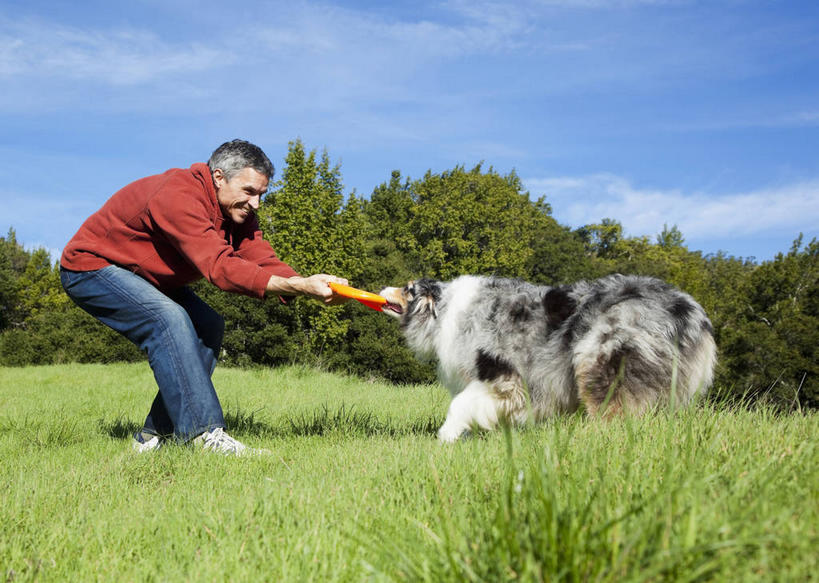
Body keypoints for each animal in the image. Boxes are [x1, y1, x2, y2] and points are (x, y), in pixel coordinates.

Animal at [380, 274, 716, 442]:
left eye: (407, 289)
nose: (382, 288)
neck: (445, 308)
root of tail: (691, 314)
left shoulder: (501, 373)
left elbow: (460, 404)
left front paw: (447, 435)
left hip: (600, 360)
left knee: (613, 414)